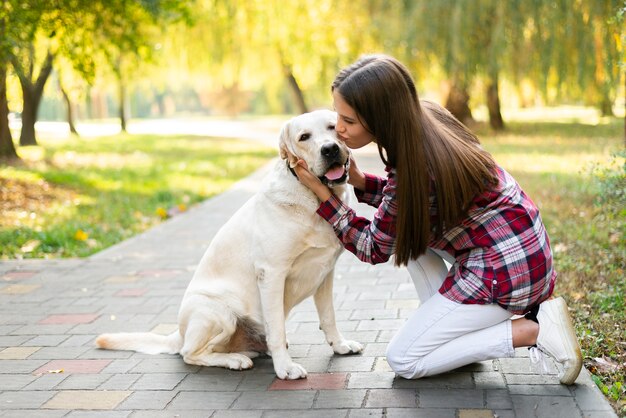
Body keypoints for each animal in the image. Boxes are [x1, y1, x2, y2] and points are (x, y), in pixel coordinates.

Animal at [96, 110, 360, 378]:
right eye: (304, 137)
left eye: (333, 127)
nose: (329, 149)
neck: (313, 200)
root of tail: (179, 333)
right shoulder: (272, 273)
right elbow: (276, 328)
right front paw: (285, 367)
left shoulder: (325, 272)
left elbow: (328, 317)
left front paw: (339, 345)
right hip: (219, 313)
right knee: (190, 353)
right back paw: (234, 360)